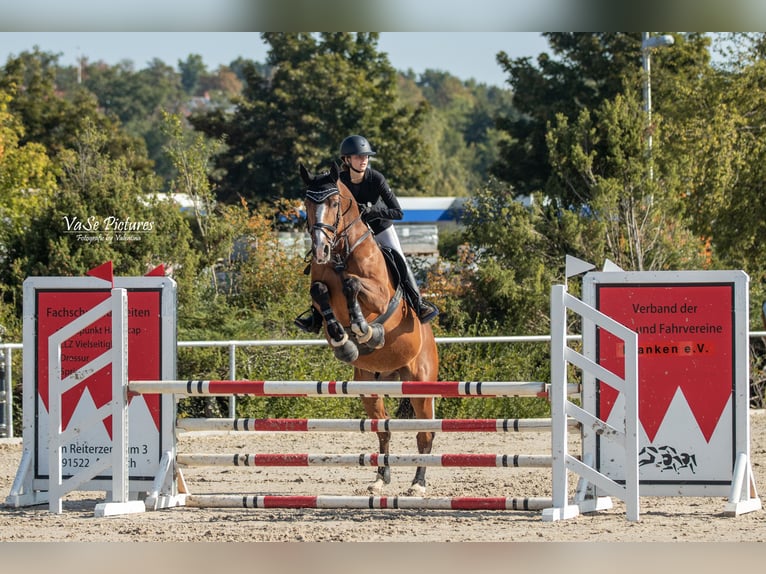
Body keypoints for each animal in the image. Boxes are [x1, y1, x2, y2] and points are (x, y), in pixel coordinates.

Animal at [302, 164, 440, 498]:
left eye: (335, 203)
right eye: (307, 204)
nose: (320, 249)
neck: (341, 253)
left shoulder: (378, 294)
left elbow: (353, 285)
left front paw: (365, 331)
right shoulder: (320, 288)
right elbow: (320, 291)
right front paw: (344, 341)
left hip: (420, 383)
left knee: (425, 433)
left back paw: (418, 484)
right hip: (369, 386)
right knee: (384, 429)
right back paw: (380, 479)